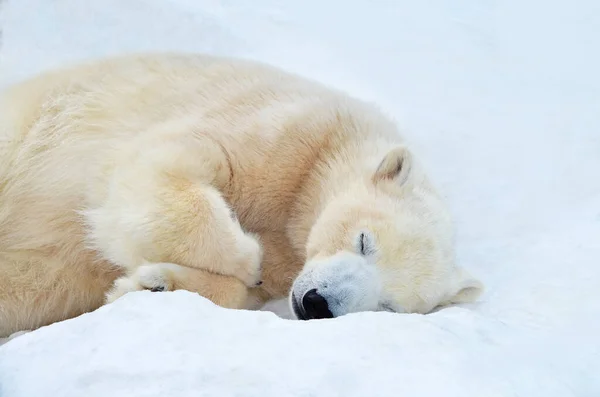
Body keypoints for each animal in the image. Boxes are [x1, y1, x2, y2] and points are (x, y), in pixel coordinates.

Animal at [0, 53, 482, 338]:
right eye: (364, 241)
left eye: (388, 306)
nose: (318, 303)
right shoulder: (280, 133)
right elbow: (163, 164)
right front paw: (247, 255)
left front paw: (152, 284)